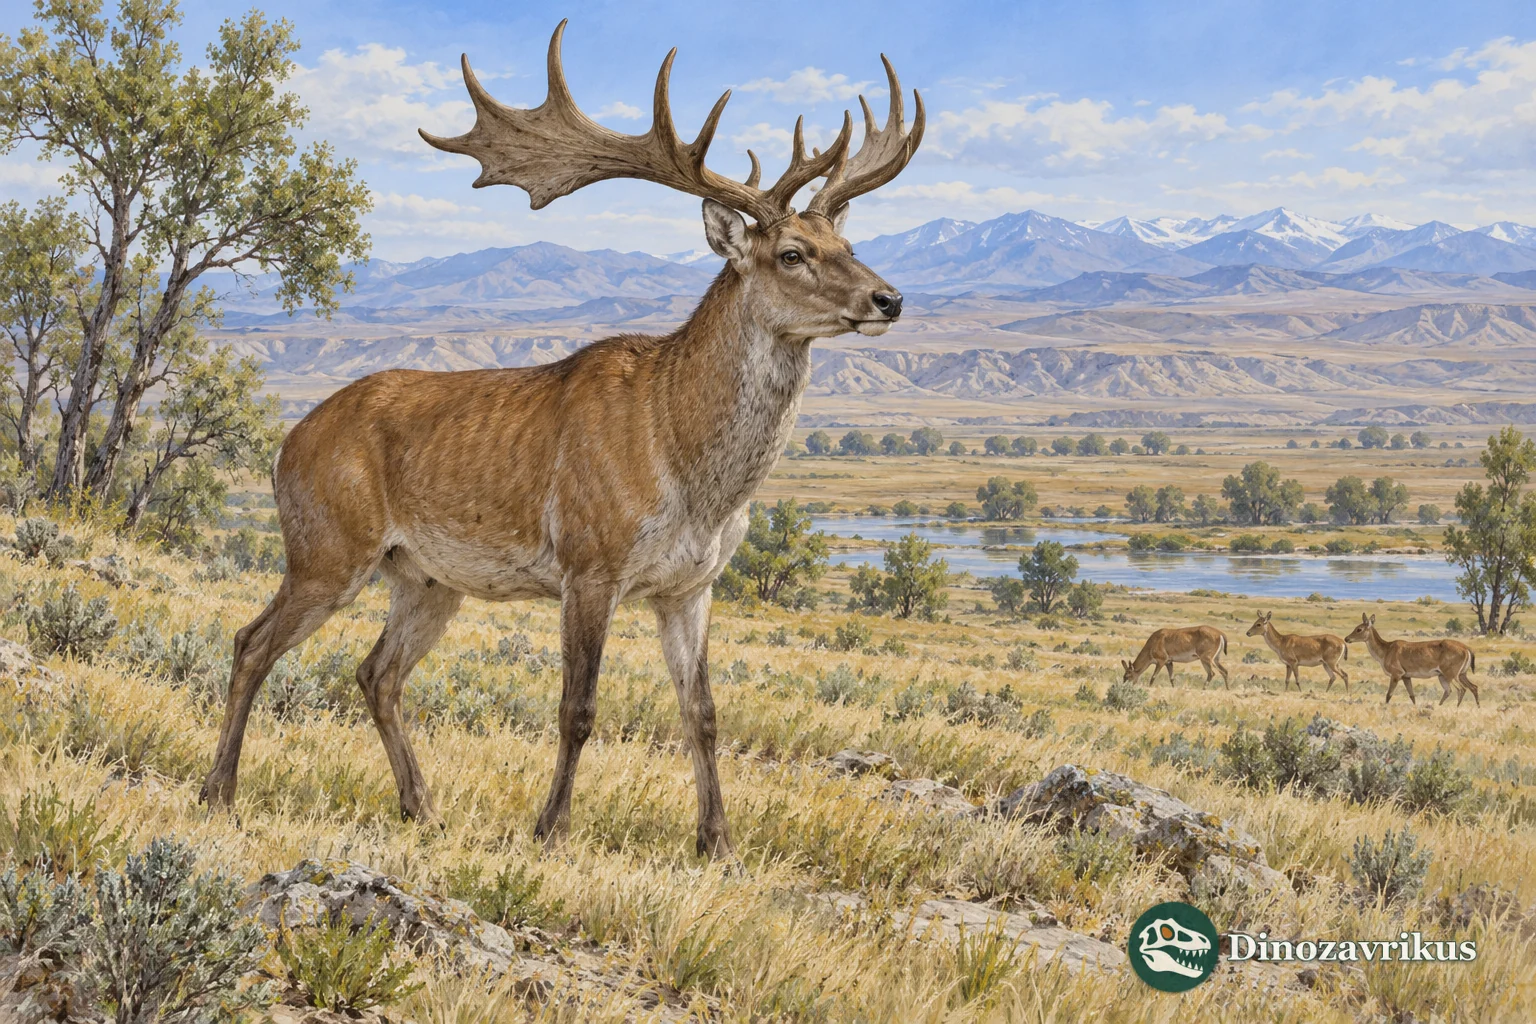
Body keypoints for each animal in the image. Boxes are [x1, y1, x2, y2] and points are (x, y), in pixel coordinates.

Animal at [197, 21, 924, 861]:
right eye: (793, 253)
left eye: (848, 241)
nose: (889, 298)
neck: (688, 468)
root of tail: (287, 442)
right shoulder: (589, 559)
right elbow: (578, 708)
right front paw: (551, 829)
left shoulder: (691, 584)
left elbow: (704, 712)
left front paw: (718, 842)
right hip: (326, 546)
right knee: (252, 642)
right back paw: (219, 794)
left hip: (425, 577)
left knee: (376, 672)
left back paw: (422, 806)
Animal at [1343, 613, 1479, 707]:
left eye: (1359, 629)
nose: (1346, 638)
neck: (1385, 651)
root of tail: (1467, 649)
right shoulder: (1406, 676)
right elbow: (1412, 695)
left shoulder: (1397, 673)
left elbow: (1388, 694)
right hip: (1458, 674)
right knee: (1471, 687)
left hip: (1450, 673)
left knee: (1461, 689)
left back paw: (1456, 708)